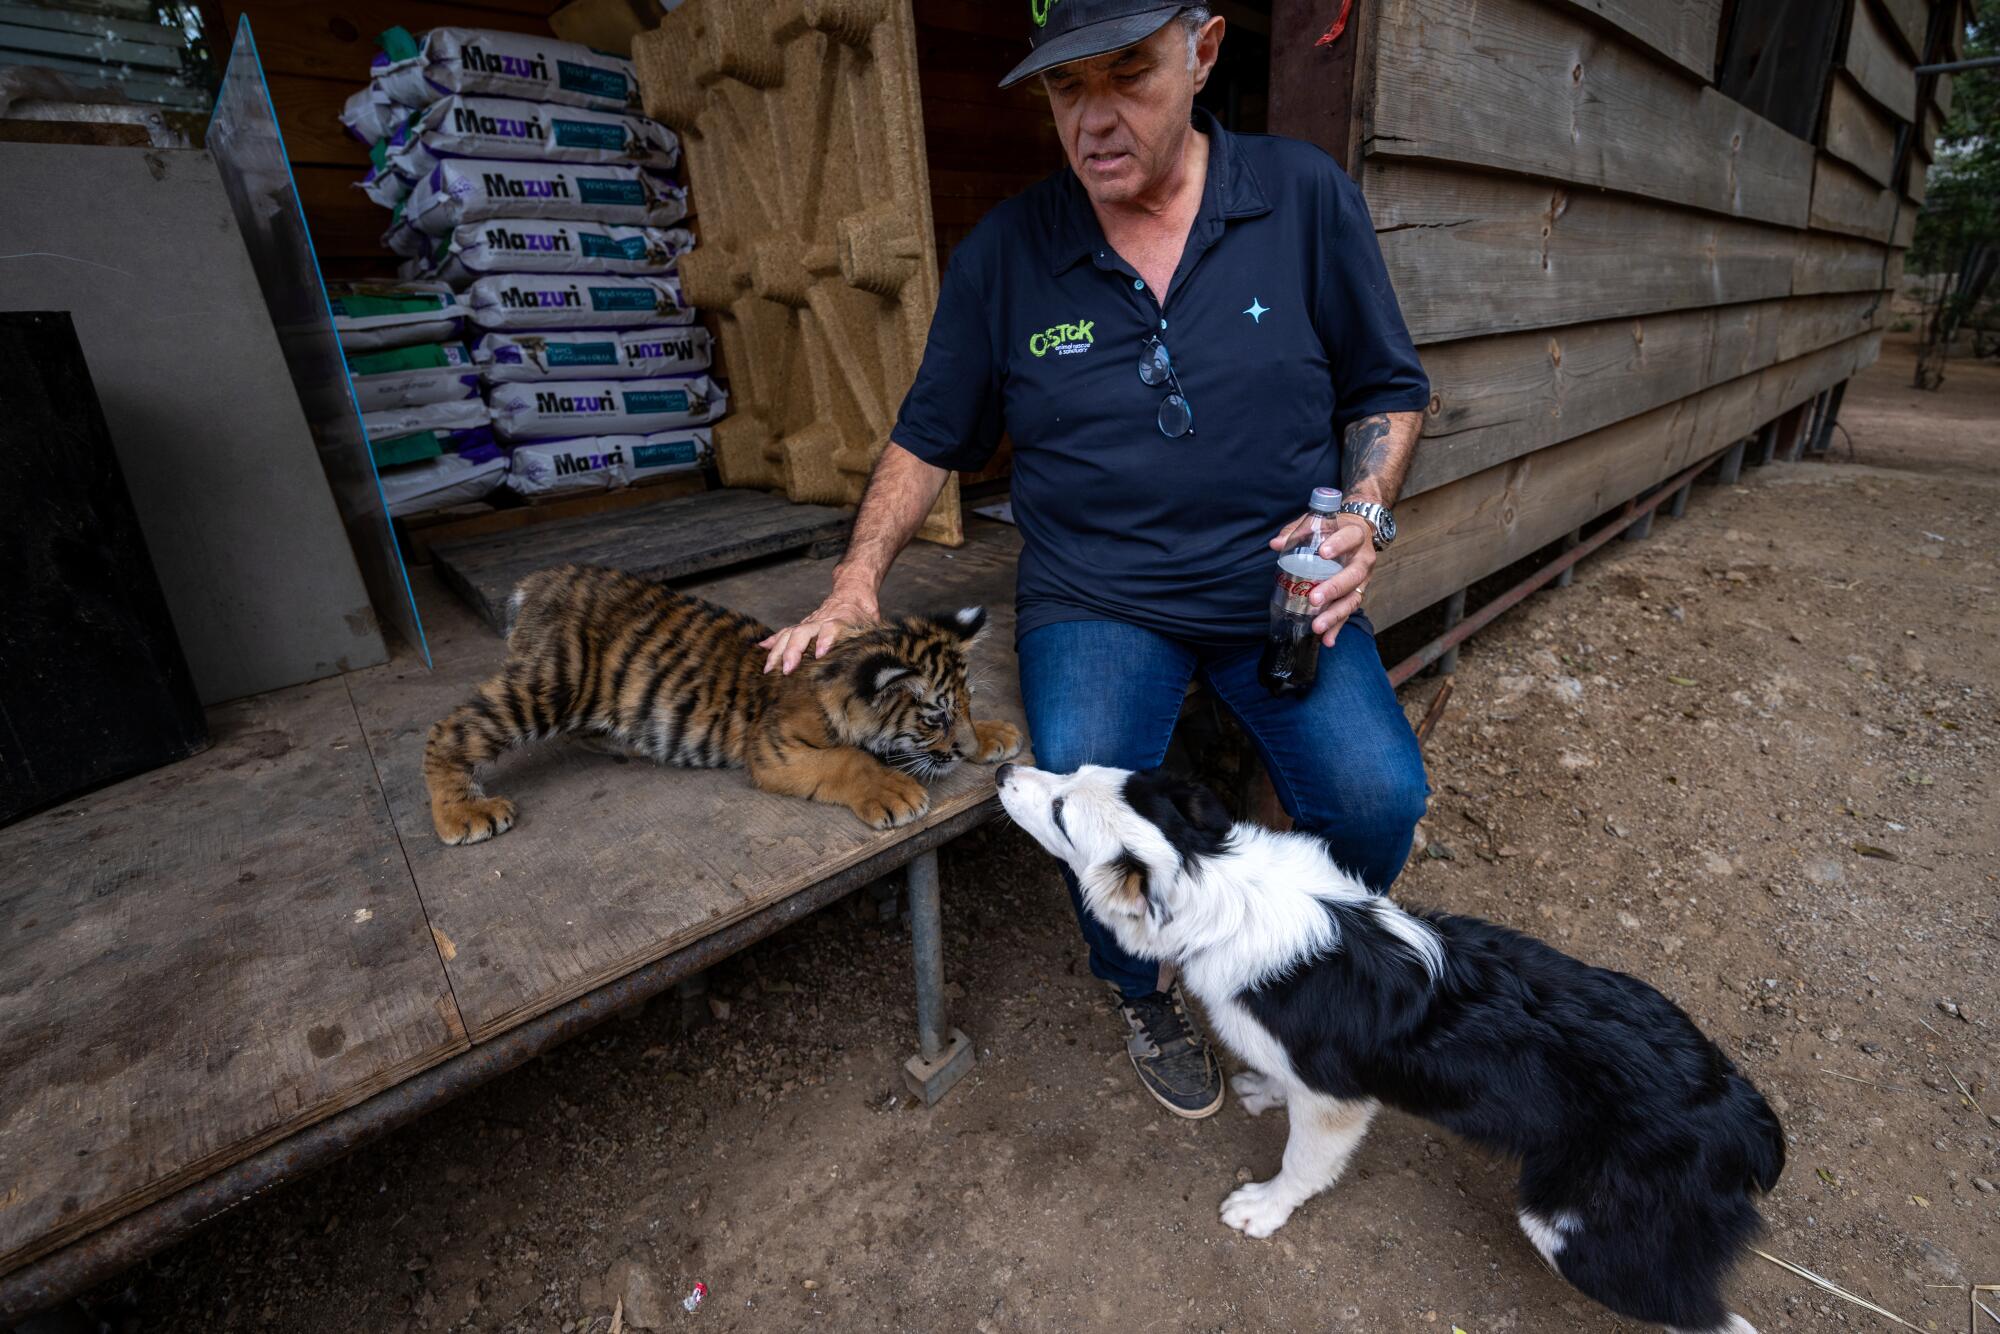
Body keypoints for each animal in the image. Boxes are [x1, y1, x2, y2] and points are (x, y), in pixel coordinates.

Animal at [996, 760, 1784, 1334]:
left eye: (1061, 812)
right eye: (1073, 771)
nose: (1005, 768)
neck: (1216, 881)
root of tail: (1742, 1113)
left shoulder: (1336, 1102)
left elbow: (1301, 1163)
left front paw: (1265, 1210)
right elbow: (1279, 1081)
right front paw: (1262, 1090)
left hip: (1580, 1234)